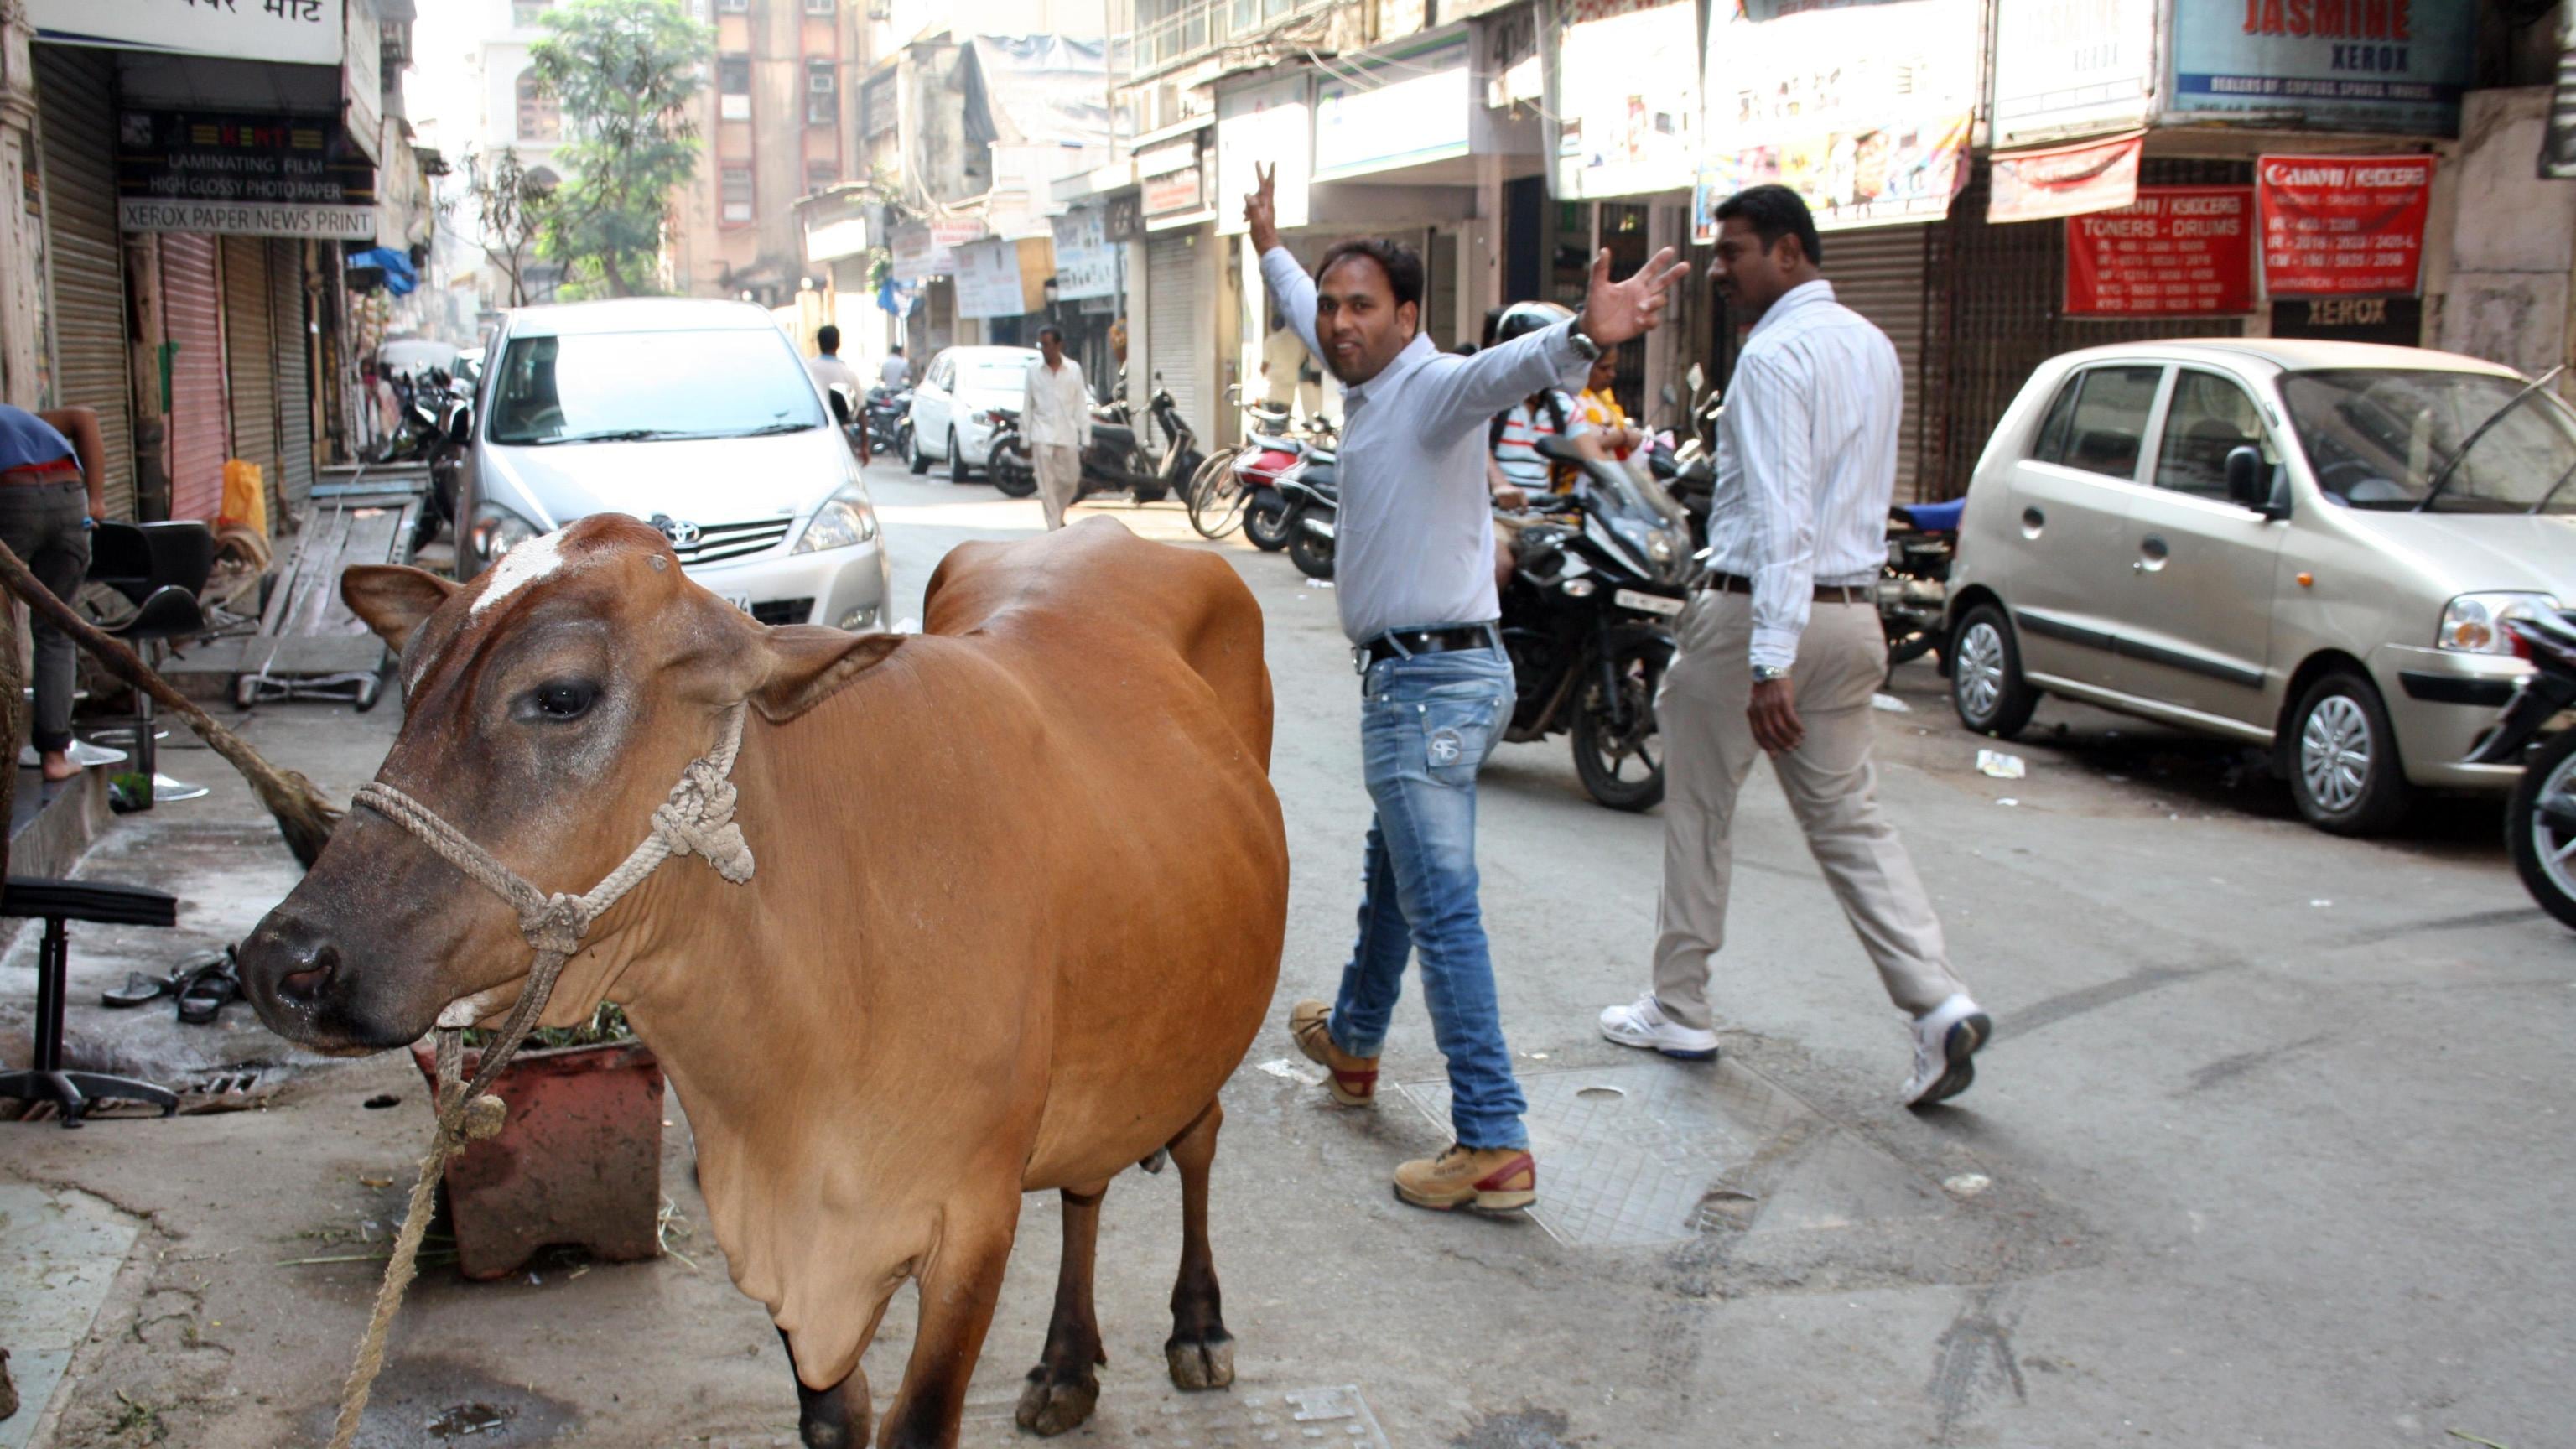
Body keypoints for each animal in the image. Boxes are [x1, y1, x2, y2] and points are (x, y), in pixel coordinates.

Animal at [237, 513, 1290, 1449]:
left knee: (1196, 1138)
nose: (282, 963)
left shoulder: (973, 1222)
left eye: (563, 695)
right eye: (409, 683)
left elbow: (918, 1425)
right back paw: (1068, 1364)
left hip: (1198, 1024)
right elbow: (831, 1419)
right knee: (1086, 1182)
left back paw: (1197, 1326)